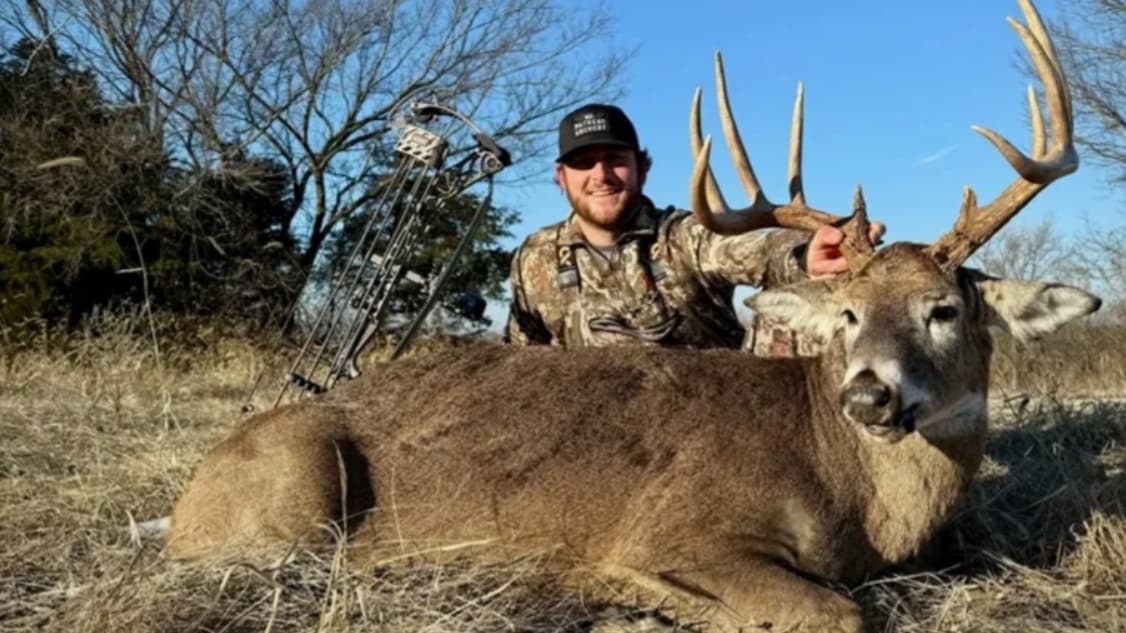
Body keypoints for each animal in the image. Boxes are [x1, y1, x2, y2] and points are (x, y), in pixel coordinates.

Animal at [166, 2, 1100, 631]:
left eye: (942, 308)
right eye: (845, 314)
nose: (868, 395)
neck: (851, 493)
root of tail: (188, 497)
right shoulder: (680, 524)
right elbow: (837, 610)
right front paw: (616, 590)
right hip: (297, 486)